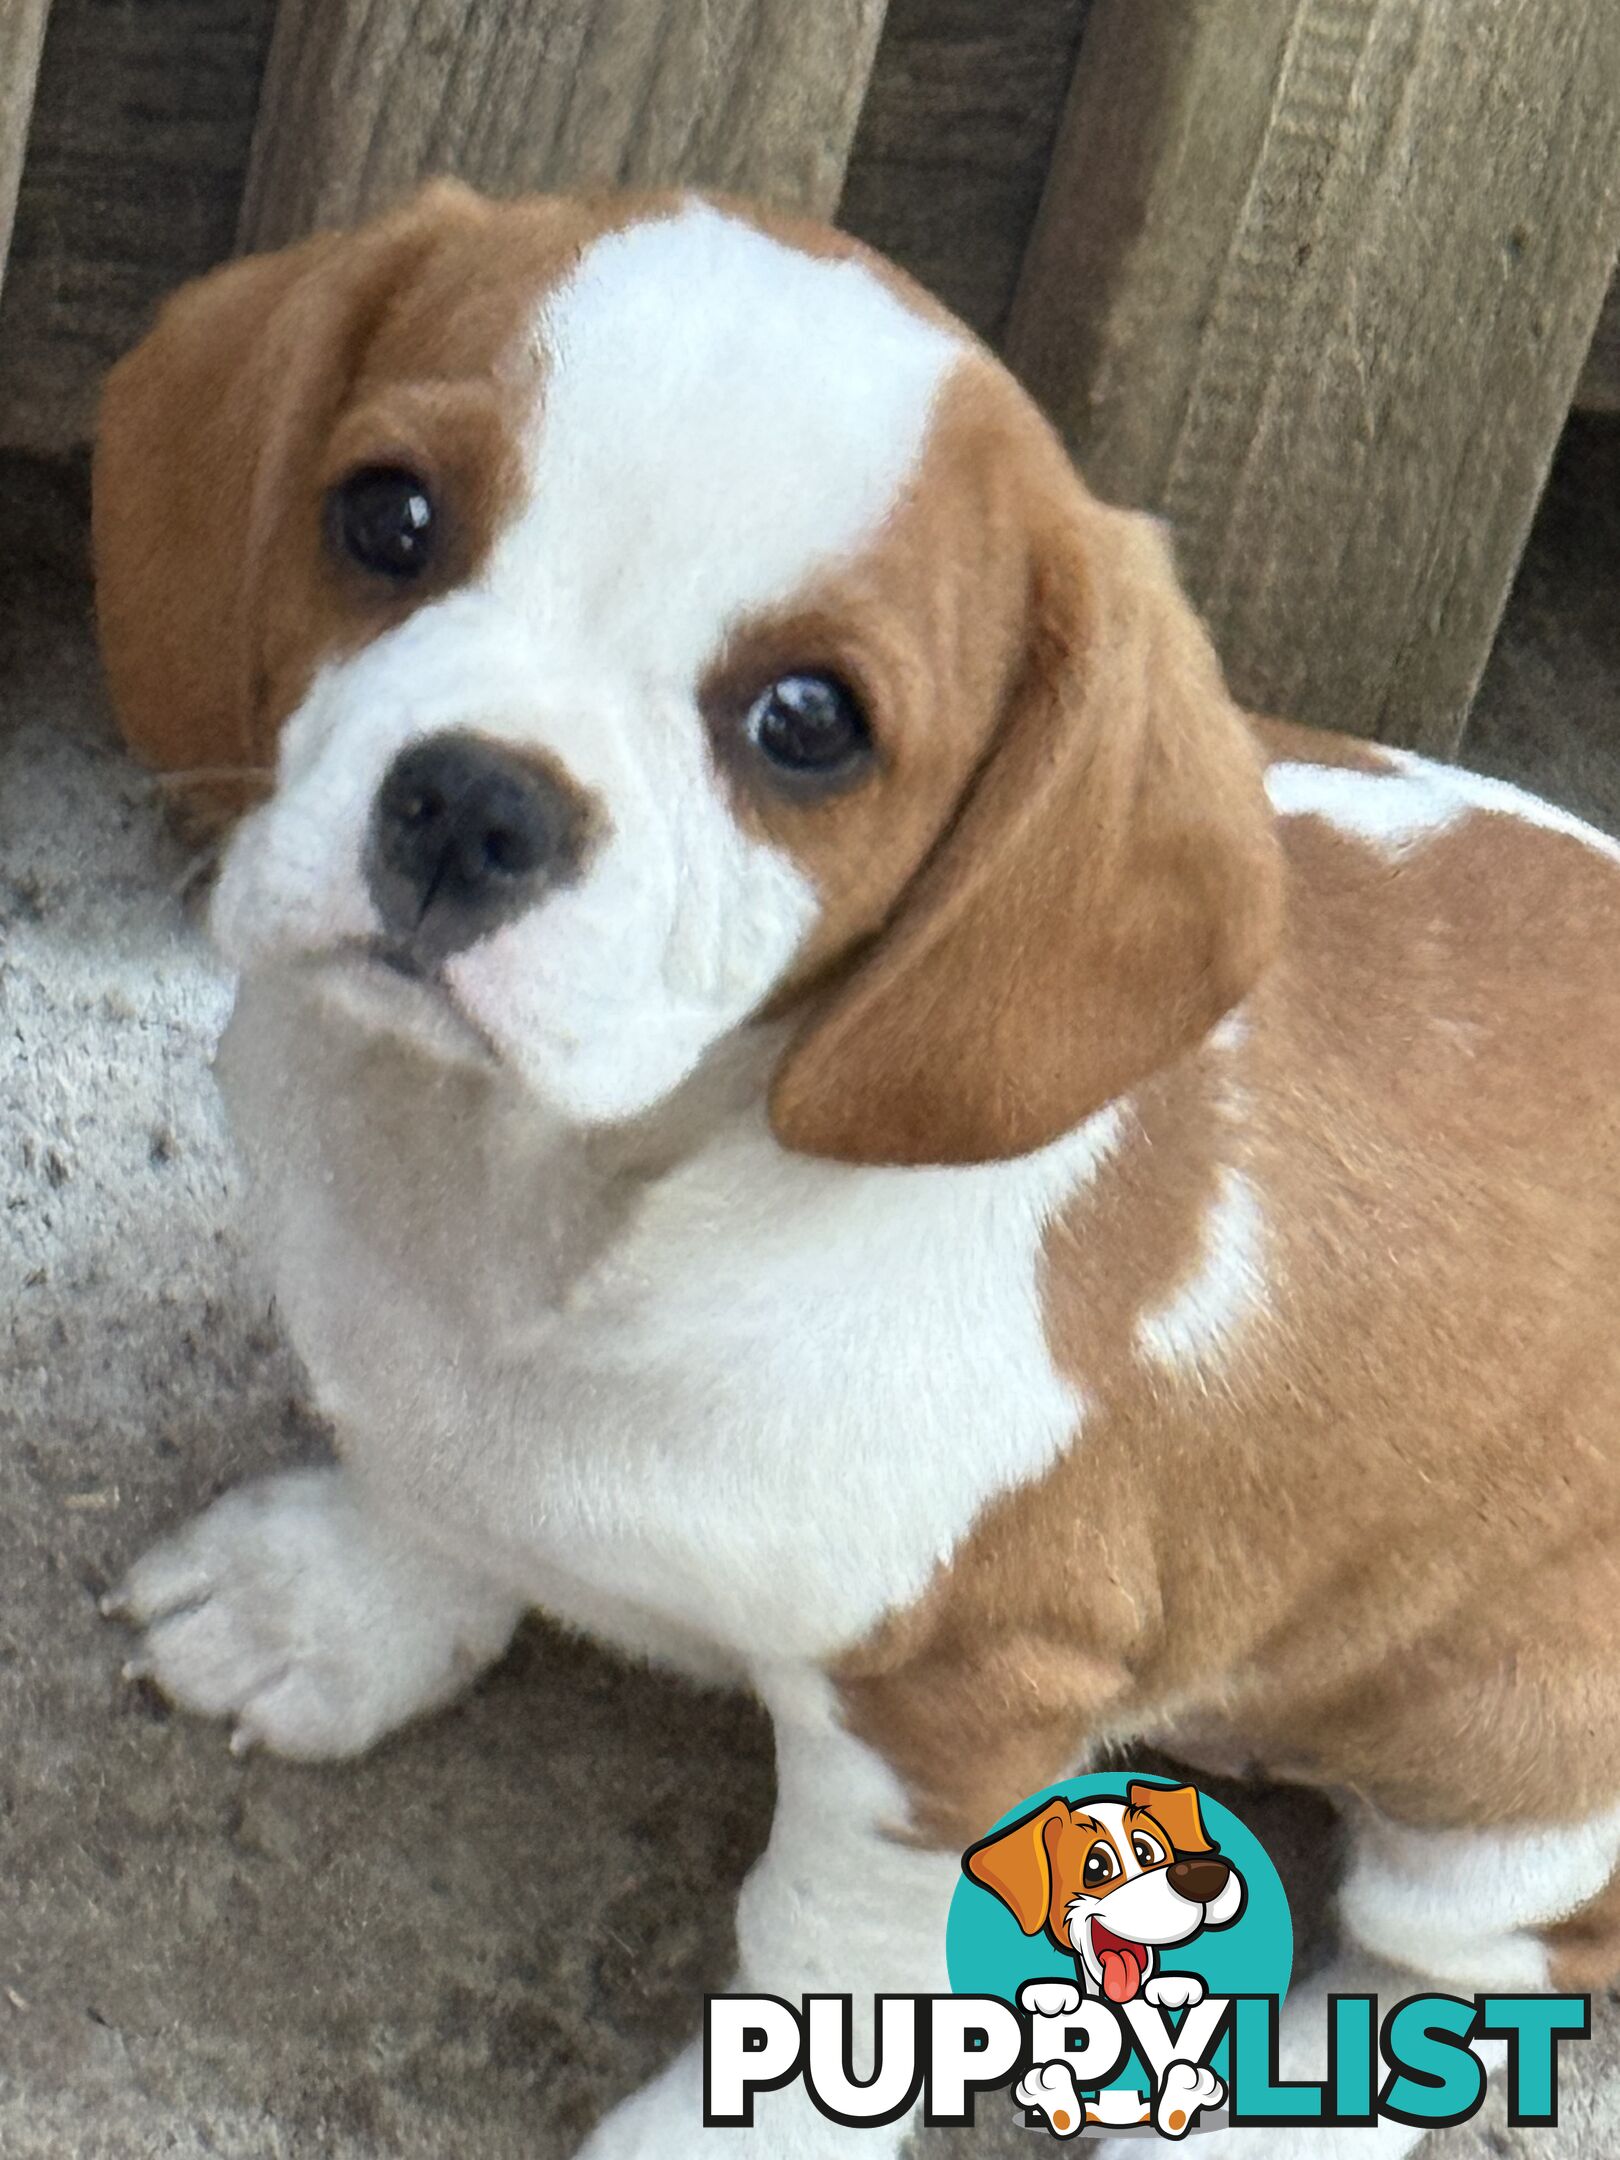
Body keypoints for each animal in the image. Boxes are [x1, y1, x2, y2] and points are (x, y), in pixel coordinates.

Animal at [91, 185, 1620, 2160]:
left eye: (809, 722)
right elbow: (433, 1496)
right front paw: (337, 1610)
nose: (473, 806)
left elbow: (823, 1951)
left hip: (1522, 1792)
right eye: (387, 516)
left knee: (1479, 1958)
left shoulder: (947, 1719)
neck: (541, 1200)